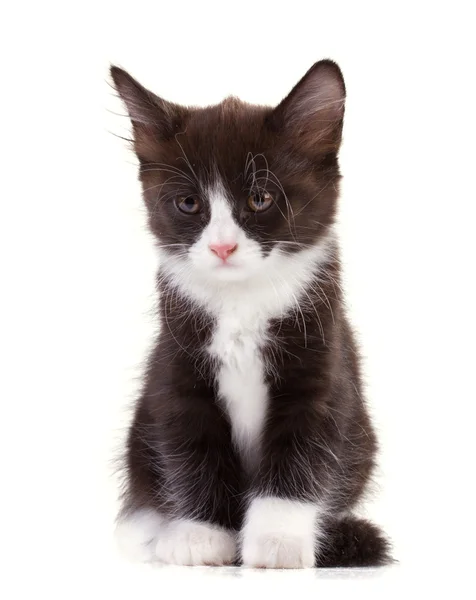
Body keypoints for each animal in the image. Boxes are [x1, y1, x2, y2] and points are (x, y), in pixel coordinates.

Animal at [111, 59, 390, 568]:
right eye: (189, 203)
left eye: (260, 199)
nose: (222, 246)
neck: (241, 301)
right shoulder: (177, 368)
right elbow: (192, 448)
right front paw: (202, 534)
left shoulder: (322, 364)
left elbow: (302, 452)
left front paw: (278, 539)